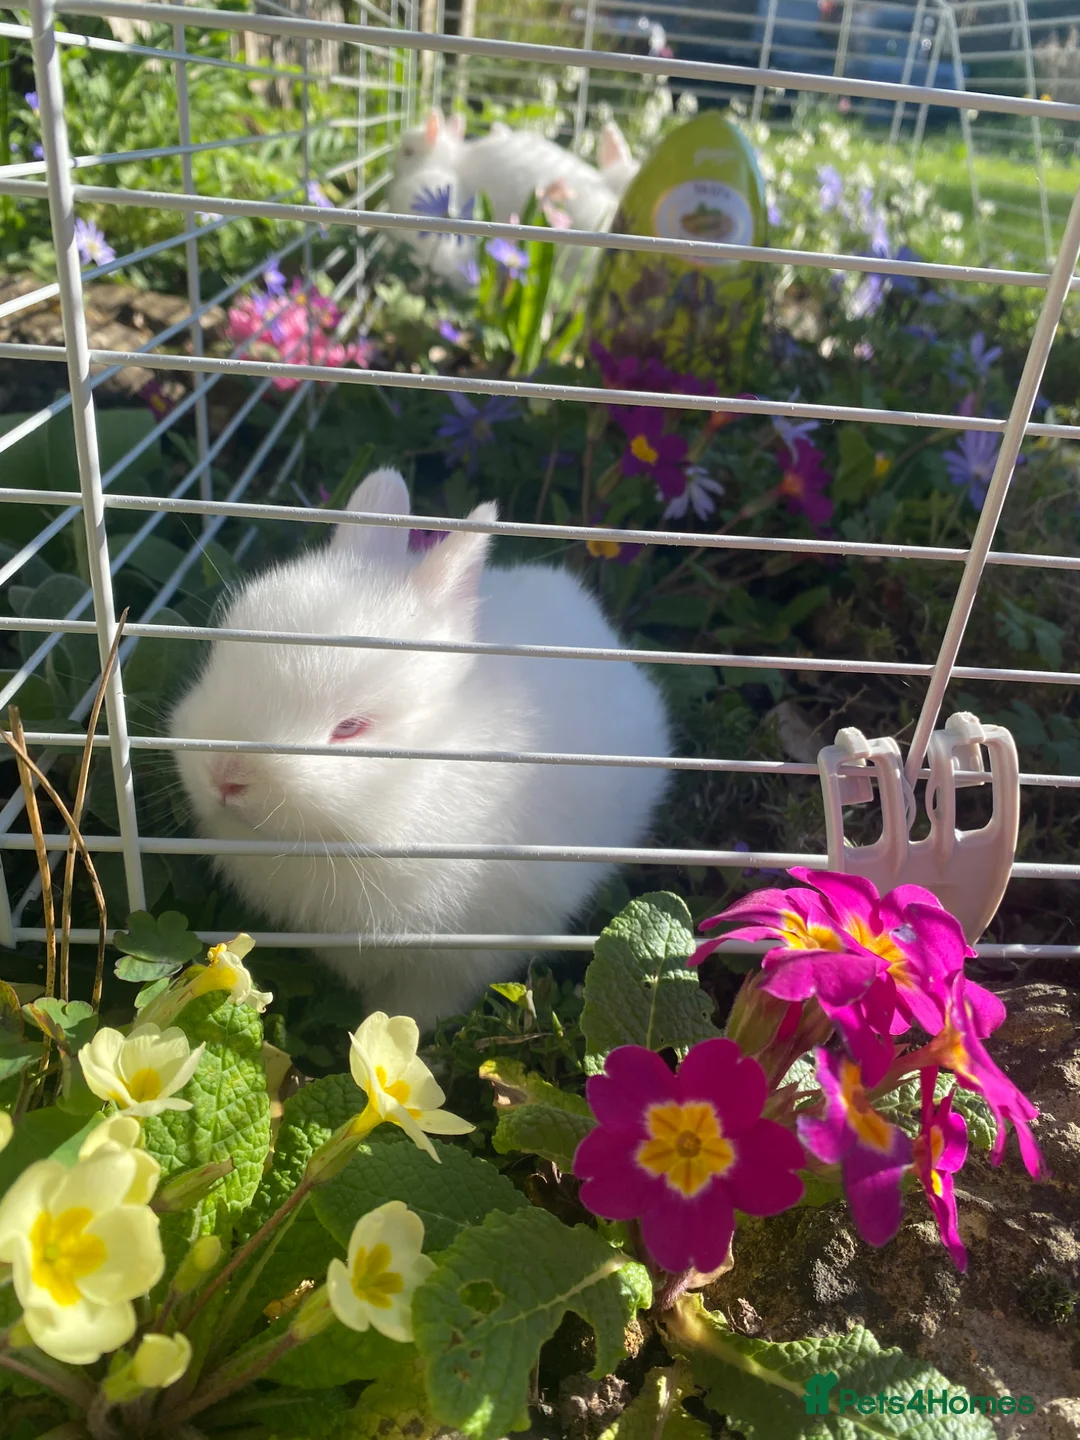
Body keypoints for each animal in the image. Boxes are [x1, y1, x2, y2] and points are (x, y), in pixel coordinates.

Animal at [170, 468, 672, 1032]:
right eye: (217, 663)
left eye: (351, 727)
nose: (225, 776)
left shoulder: (462, 953)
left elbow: (422, 1004)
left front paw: (392, 1030)